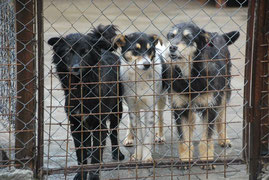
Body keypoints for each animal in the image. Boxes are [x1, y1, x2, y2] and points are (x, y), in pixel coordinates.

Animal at [47, 24, 124, 179]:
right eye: (68, 52)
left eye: (85, 52)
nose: (76, 68)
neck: (81, 89)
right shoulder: (76, 125)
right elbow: (81, 154)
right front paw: (81, 174)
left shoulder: (99, 123)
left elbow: (96, 155)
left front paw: (94, 176)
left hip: (117, 109)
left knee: (113, 132)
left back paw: (117, 154)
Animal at [113, 32, 168, 162]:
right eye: (135, 50)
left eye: (149, 49)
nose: (147, 64)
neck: (139, 76)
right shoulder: (133, 106)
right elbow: (138, 133)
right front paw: (138, 155)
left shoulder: (149, 107)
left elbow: (147, 135)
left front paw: (147, 157)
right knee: (130, 122)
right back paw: (129, 137)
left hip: (162, 98)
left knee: (160, 116)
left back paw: (159, 135)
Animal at [165, 22, 239, 169]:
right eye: (172, 36)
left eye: (188, 37)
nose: (172, 47)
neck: (191, 76)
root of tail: (218, 35)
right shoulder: (180, 108)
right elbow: (184, 138)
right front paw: (185, 159)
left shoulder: (210, 107)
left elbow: (206, 138)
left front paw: (206, 160)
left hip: (224, 93)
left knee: (221, 118)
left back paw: (224, 139)